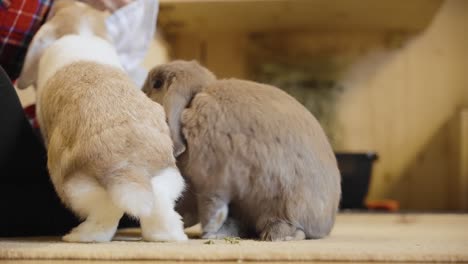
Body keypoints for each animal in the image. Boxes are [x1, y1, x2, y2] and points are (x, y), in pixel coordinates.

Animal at [17, 1, 187, 242]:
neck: (82, 30)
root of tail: (130, 167)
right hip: (165, 178)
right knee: (159, 210)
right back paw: (168, 236)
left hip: (77, 186)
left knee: (105, 214)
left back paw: (78, 236)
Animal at [143, 60, 340, 241]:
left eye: (157, 83)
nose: (143, 93)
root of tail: (327, 224)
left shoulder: (213, 181)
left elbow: (211, 207)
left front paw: (208, 232)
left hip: (284, 204)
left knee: (290, 228)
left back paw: (273, 236)